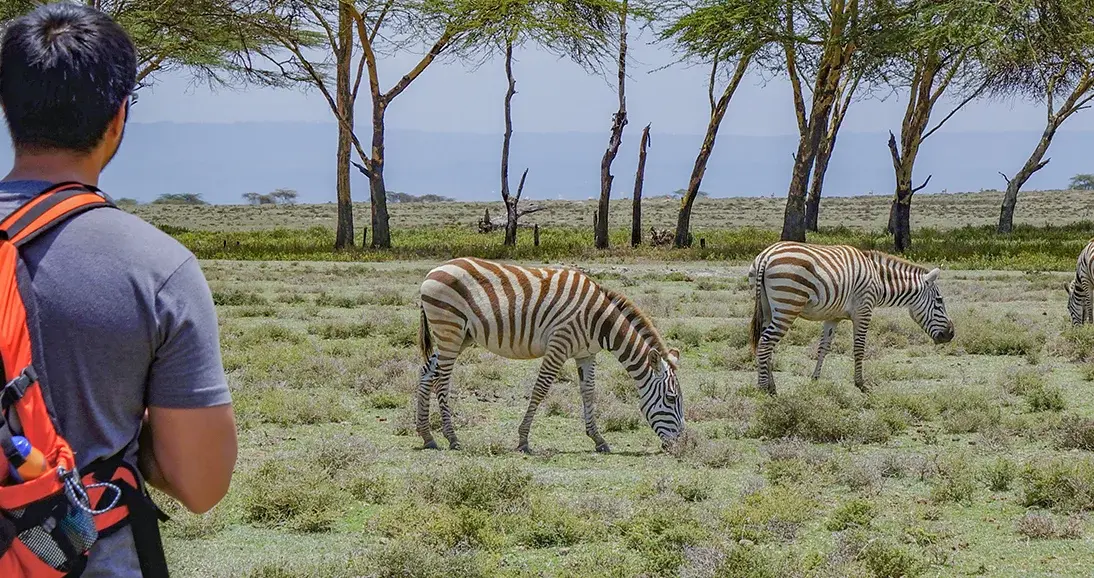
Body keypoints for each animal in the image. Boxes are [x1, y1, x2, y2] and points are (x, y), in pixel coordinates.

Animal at [415, 256, 682, 451]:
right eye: (671, 399)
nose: (680, 444)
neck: (599, 320)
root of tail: (433, 271)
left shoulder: (586, 354)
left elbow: (588, 392)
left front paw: (598, 439)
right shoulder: (559, 345)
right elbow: (540, 389)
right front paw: (523, 440)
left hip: (459, 337)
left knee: (427, 372)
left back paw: (427, 436)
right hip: (449, 331)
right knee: (441, 381)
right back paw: (452, 438)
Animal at [748, 241, 953, 394]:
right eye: (939, 301)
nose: (950, 334)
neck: (879, 280)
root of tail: (766, 256)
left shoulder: (833, 317)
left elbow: (823, 348)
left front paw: (815, 379)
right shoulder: (864, 311)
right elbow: (859, 349)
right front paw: (861, 384)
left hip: (767, 309)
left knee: (766, 344)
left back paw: (771, 386)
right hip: (788, 305)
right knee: (765, 343)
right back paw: (763, 388)